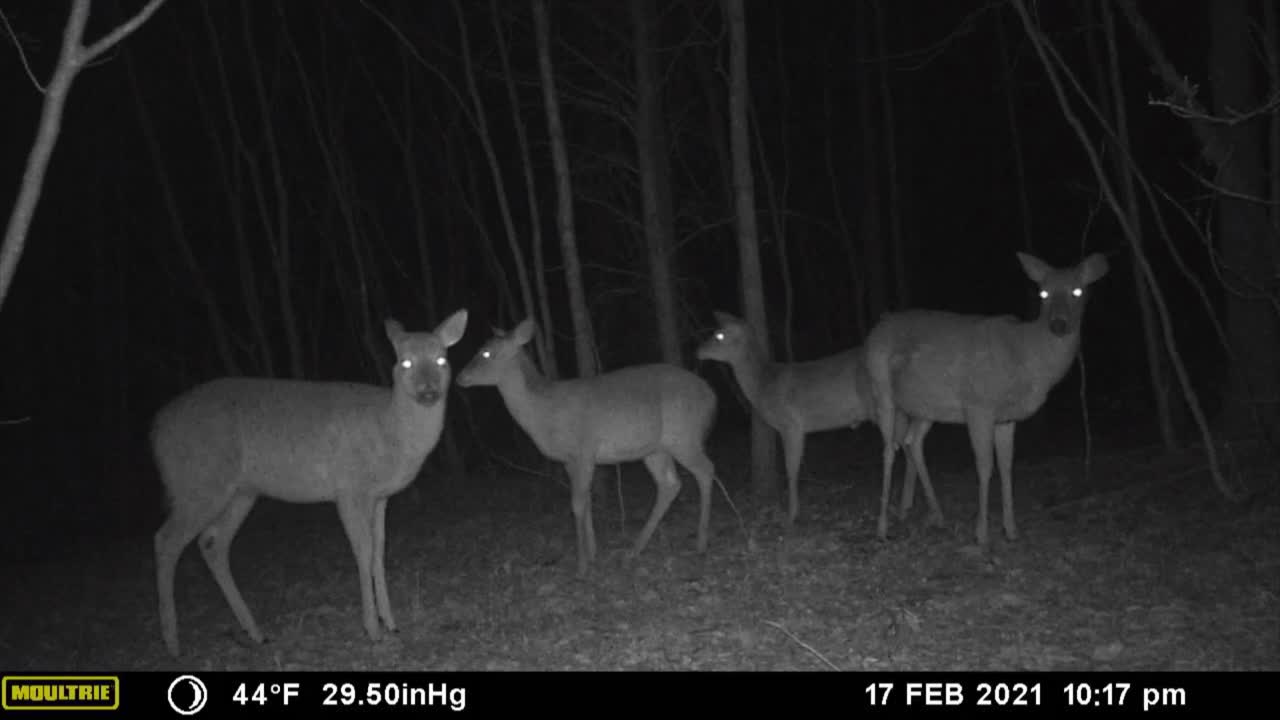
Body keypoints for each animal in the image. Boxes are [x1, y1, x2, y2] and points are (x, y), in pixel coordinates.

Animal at [150, 304, 471, 653]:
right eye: (405, 362)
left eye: (441, 359)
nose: (428, 392)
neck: (390, 430)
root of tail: (155, 434)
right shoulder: (349, 487)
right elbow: (363, 550)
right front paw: (372, 628)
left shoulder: (380, 496)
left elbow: (379, 551)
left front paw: (391, 621)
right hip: (198, 480)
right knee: (166, 540)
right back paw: (172, 642)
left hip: (239, 492)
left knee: (212, 543)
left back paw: (256, 631)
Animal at [458, 316, 721, 573]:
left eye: (486, 352)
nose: (460, 377)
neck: (543, 414)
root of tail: (711, 396)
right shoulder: (569, 460)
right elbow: (586, 501)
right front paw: (593, 553)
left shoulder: (583, 449)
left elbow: (576, 504)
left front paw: (582, 565)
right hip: (656, 449)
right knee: (670, 484)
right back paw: (635, 549)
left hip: (684, 435)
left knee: (705, 470)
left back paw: (700, 543)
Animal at [691, 310, 942, 527]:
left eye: (719, 335)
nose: (698, 350)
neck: (764, 386)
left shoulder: (791, 424)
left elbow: (791, 469)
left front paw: (791, 516)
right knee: (910, 444)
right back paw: (906, 507)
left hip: (886, 409)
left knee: (906, 447)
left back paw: (908, 509)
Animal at [870, 252, 1111, 543]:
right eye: (1043, 292)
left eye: (1078, 291)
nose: (1058, 324)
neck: (1027, 357)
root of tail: (875, 329)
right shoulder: (978, 404)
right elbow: (985, 467)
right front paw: (982, 533)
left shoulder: (1006, 417)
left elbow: (1006, 467)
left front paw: (1011, 529)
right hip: (880, 385)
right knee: (888, 449)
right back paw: (882, 528)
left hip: (926, 406)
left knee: (912, 442)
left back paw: (936, 516)